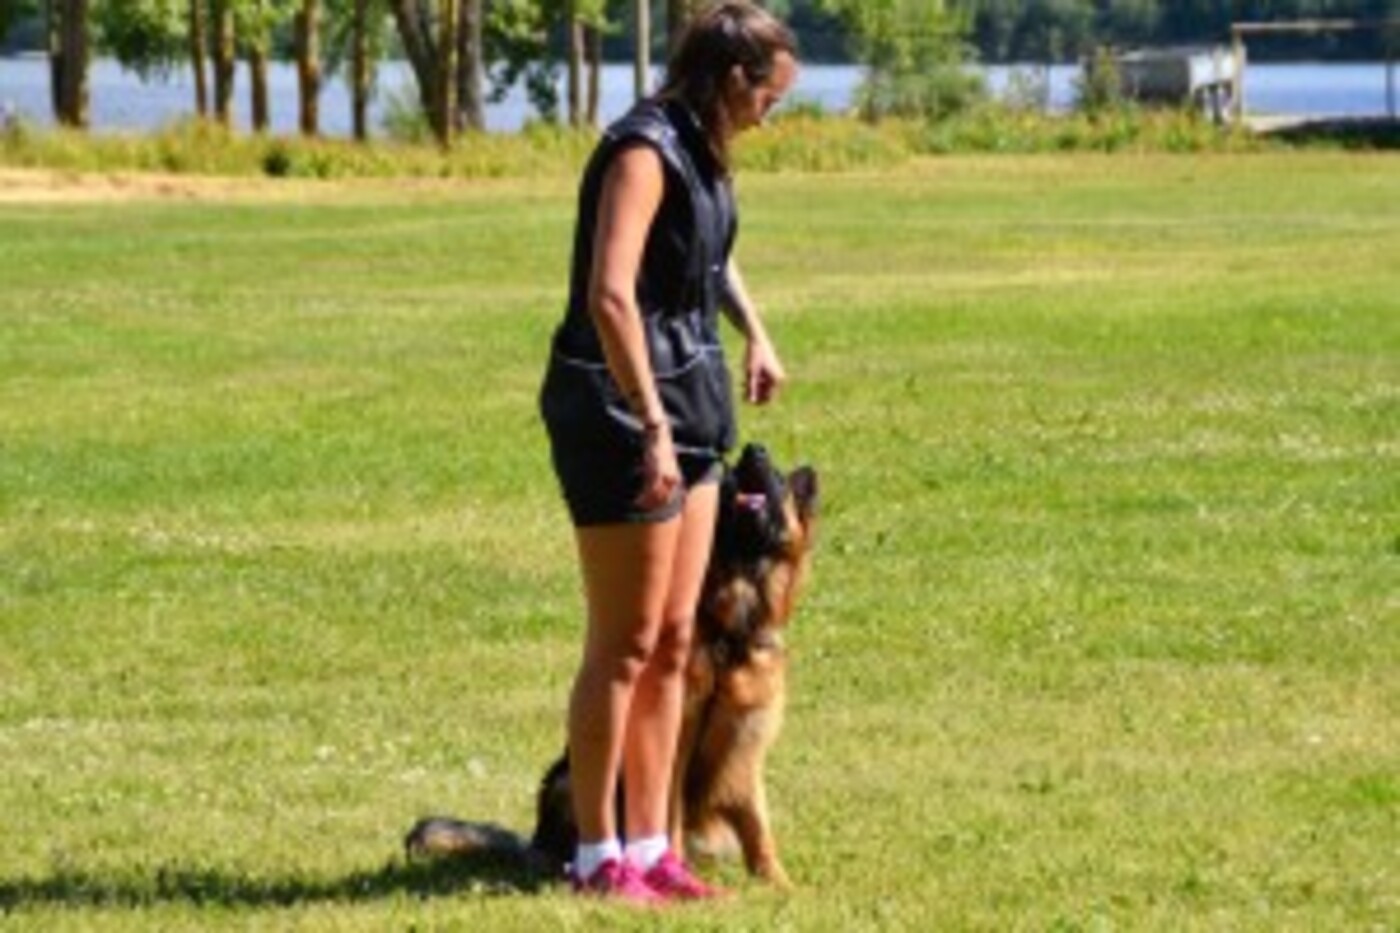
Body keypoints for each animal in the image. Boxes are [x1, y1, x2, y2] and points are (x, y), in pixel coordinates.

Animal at [405, 443, 819, 889]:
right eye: (736, 479)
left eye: (777, 479)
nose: (752, 449)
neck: (728, 630)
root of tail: (533, 842)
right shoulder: (677, 735)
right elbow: (667, 816)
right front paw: (675, 869)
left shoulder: (744, 742)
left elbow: (757, 825)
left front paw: (778, 883)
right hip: (568, 781)